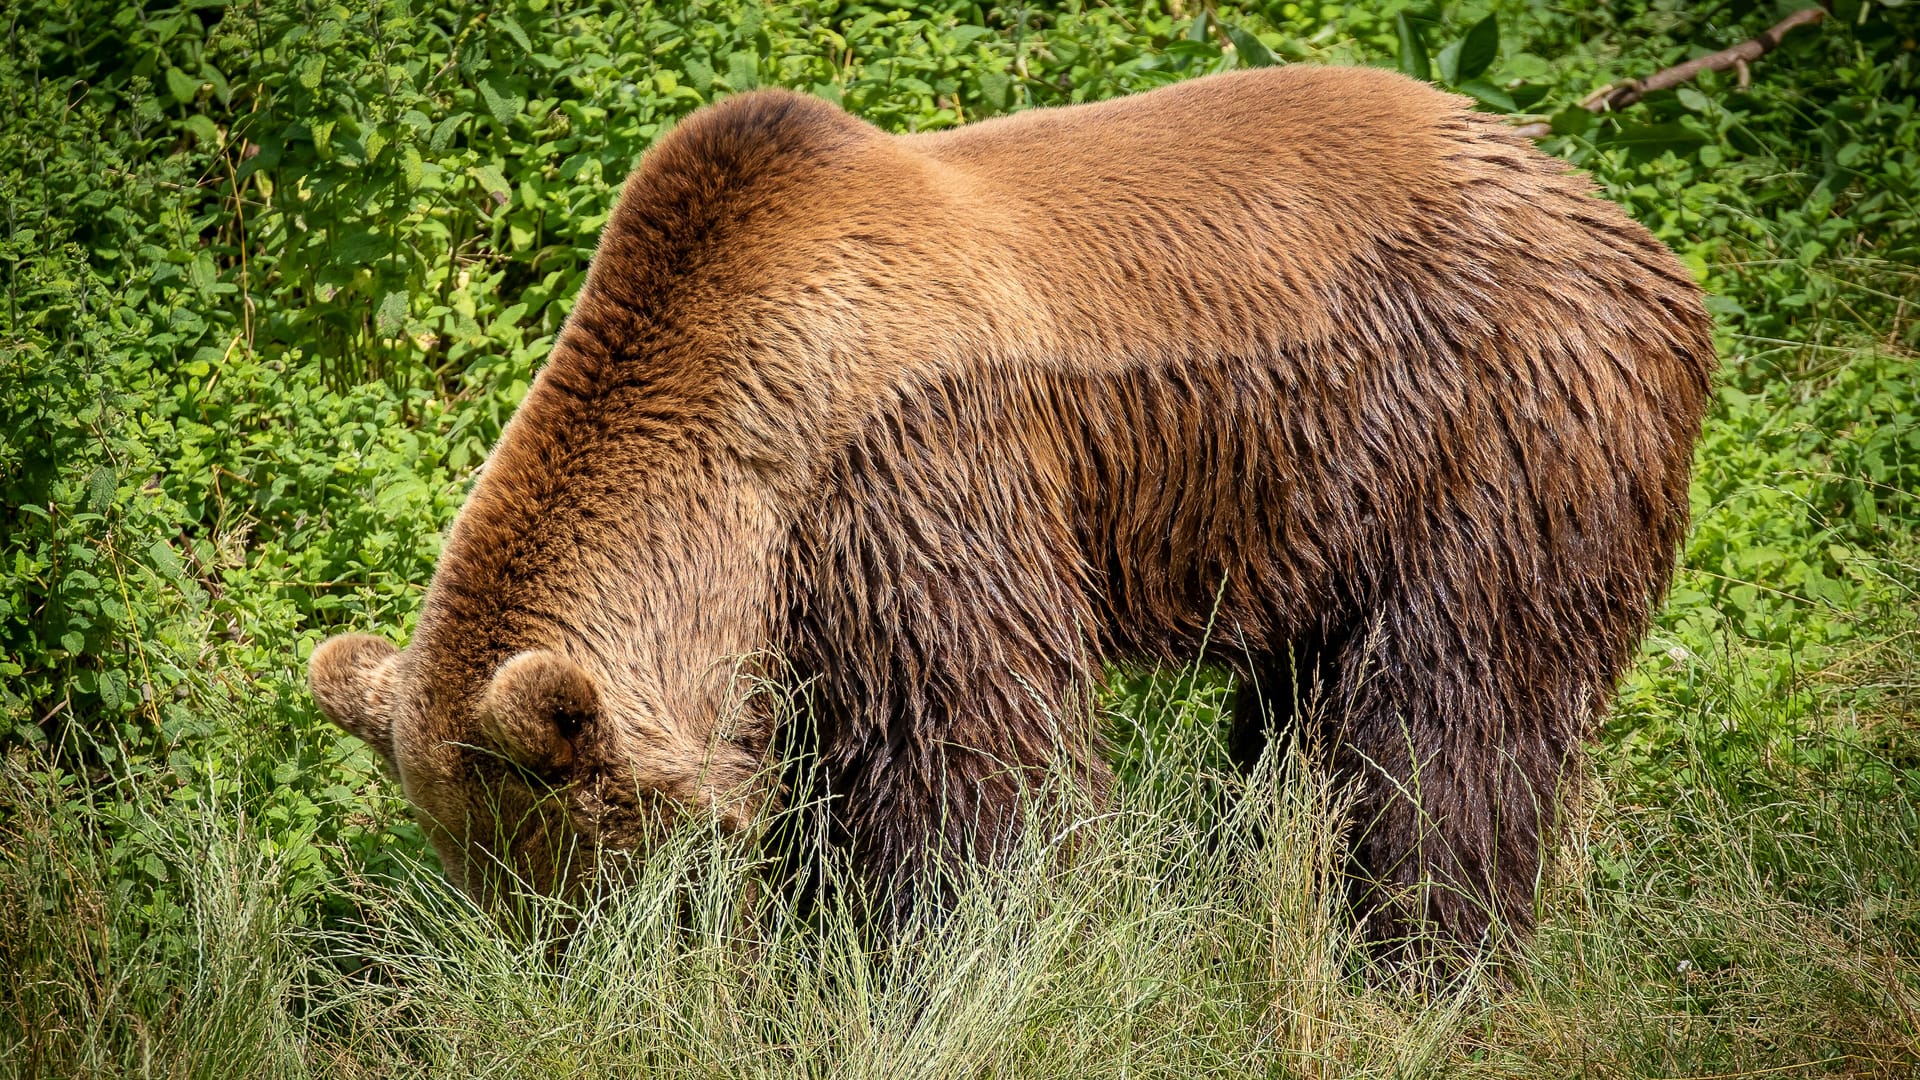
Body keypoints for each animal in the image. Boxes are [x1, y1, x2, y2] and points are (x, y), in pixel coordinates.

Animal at [307, 62, 1720, 945]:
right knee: (1295, 720)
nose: (570, 972)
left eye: (584, 876)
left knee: (1447, 718)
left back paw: (1424, 952)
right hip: (1327, 498)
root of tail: (1615, 216)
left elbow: (977, 769)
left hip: (1495, 424)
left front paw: (954, 951)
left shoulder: (920, 473)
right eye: (488, 882)